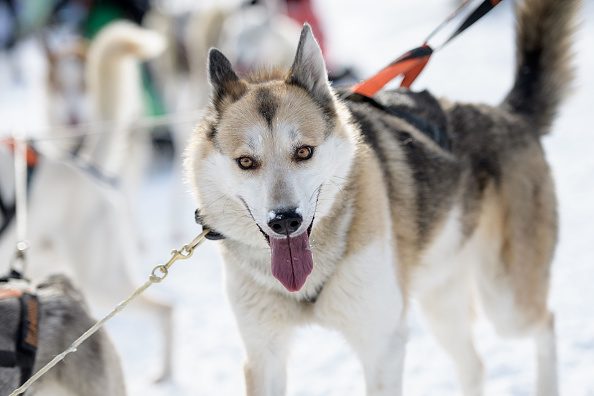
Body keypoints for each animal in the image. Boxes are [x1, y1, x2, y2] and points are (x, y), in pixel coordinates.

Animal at [184, 0, 572, 394]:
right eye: (246, 161)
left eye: (304, 152)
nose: (285, 220)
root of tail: (510, 115)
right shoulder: (264, 357)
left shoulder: (383, 346)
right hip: (441, 301)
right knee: (474, 364)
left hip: (505, 301)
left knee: (546, 324)